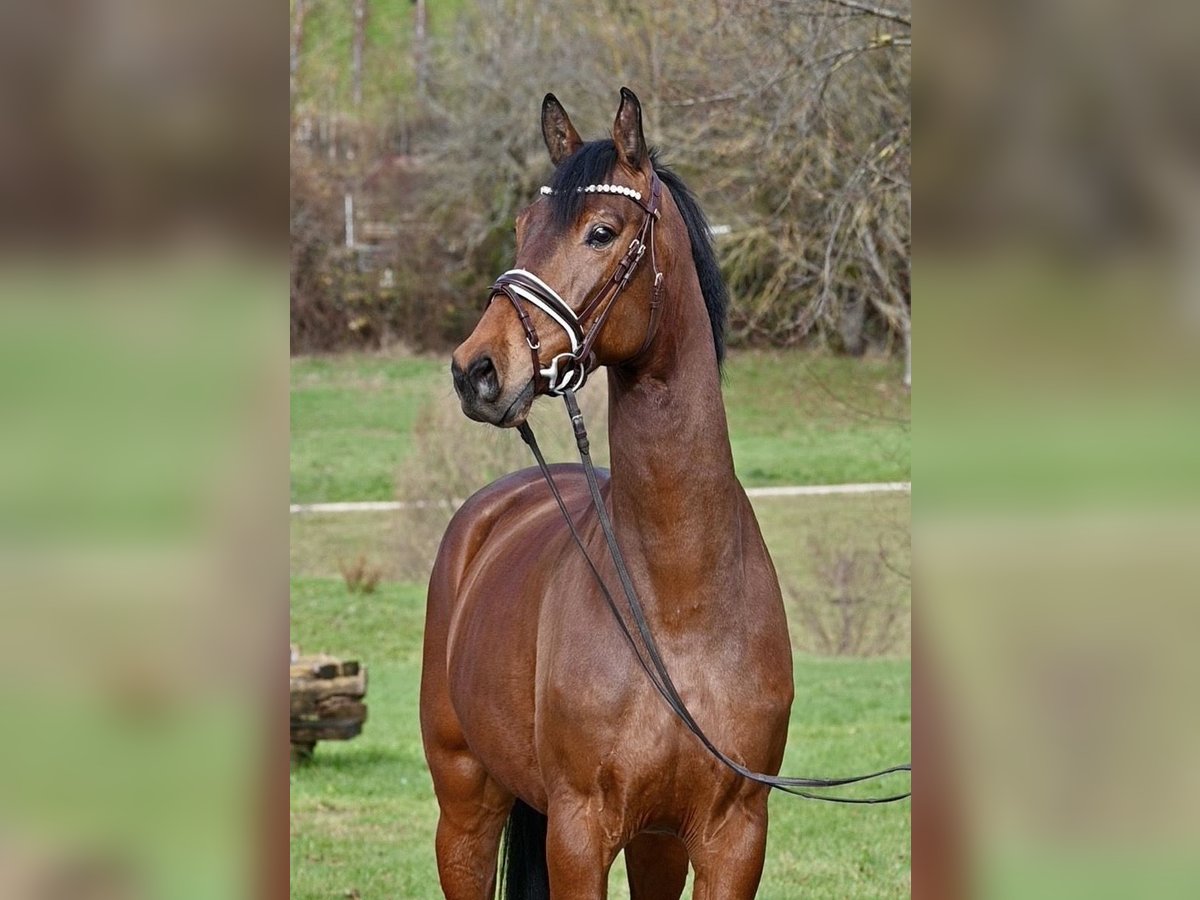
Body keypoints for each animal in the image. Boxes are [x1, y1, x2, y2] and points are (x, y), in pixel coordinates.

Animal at [422, 88, 796, 897]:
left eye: (602, 231)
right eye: (524, 228)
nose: (477, 370)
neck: (678, 607)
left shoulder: (730, 837)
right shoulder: (579, 832)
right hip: (464, 807)